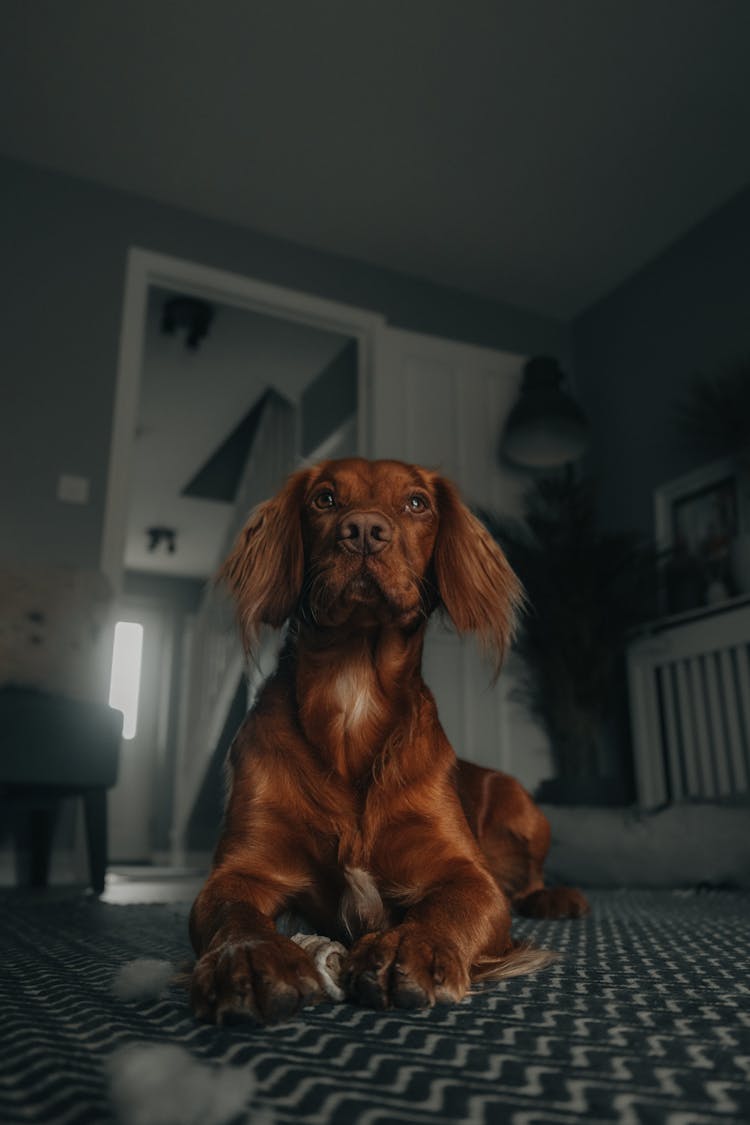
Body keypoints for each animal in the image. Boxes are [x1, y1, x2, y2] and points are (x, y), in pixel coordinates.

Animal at [187, 459, 584, 1030]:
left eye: (417, 503)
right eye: (325, 499)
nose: (364, 531)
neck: (354, 686)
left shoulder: (467, 874)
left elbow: (446, 907)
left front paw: (409, 947)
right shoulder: (240, 870)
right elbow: (231, 912)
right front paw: (249, 960)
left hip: (521, 805)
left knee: (527, 881)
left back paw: (558, 898)